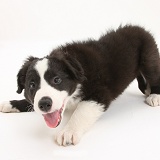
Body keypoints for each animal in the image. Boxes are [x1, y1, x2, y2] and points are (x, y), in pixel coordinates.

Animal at [0, 25, 160, 146]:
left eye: (57, 80)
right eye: (32, 85)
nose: (44, 104)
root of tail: (139, 27)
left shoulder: (99, 93)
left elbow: (82, 111)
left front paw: (68, 131)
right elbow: (30, 102)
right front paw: (11, 103)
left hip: (148, 57)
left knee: (154, 75)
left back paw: (154, 95)